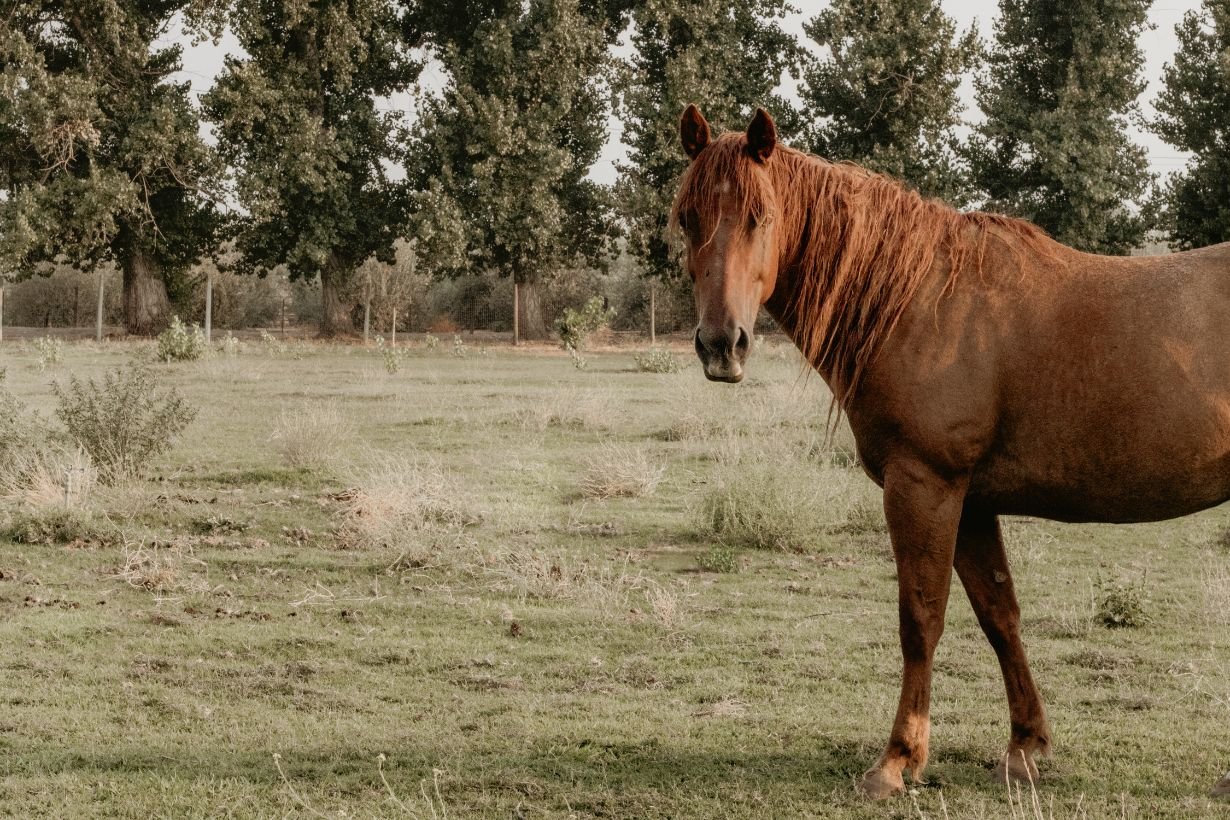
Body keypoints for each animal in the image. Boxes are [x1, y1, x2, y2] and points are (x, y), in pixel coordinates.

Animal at [673, 103, 1230, 799]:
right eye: (687, 218)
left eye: (761, 217)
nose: (722, 345)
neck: (915, 301)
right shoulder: (971, 502)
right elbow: (999, 615)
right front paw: (1024, 749)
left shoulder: (925, 486)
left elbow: (920, 619)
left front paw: (897, 760)